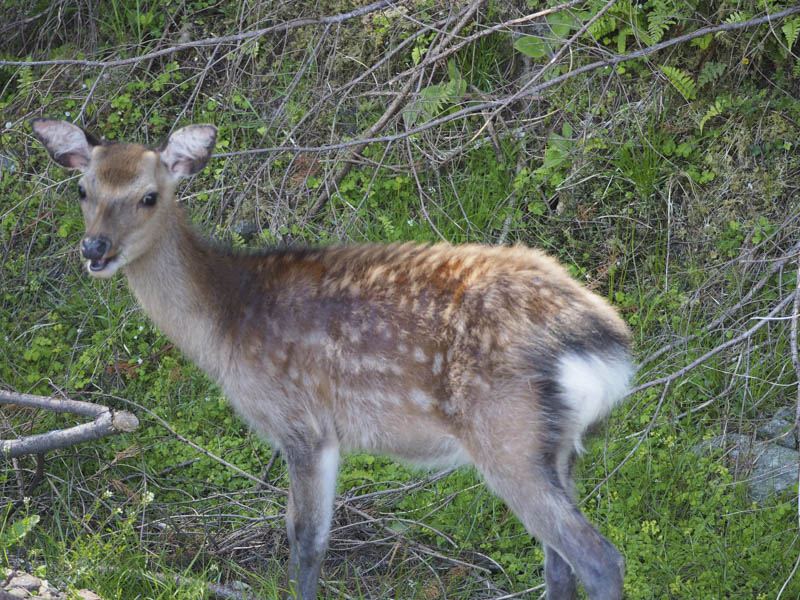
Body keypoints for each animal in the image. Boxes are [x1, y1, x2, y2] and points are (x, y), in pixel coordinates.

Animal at [32, 118, 636, 600]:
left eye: (149, 196)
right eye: (82, 189)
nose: (95, 249)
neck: (227, 324)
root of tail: (607, 348)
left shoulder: (301, 422)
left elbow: (306, 543)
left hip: (506, 433)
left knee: (599, 558)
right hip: (558, 449)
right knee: (559, 566)